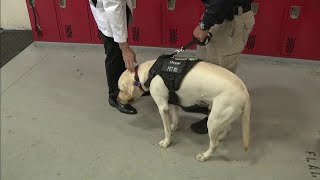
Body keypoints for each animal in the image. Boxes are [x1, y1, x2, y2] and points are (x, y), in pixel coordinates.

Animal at [117, 59, 250, 162]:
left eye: (120, 89)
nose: (117, 100)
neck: (150, 72)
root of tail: (244, 90)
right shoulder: (173, 103)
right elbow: (175, 118)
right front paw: (174, 127)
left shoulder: (162, 107)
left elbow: (166, 130)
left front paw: (166, 142)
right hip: (220, 115)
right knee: (228, 128)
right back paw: (220, 136)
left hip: (213, 120)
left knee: (214, 144)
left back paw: (205, 155)